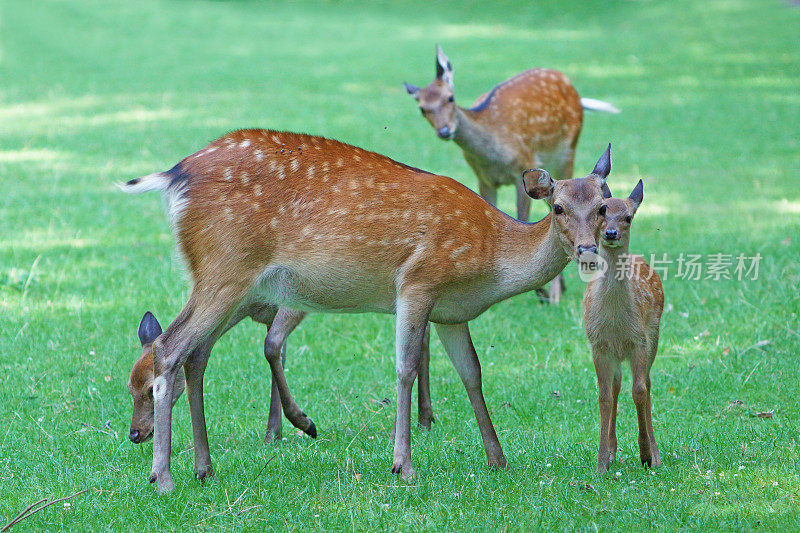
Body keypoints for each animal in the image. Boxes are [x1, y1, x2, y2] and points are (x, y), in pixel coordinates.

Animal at [122, 128, 616, 490]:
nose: (589, 249)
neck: (489, 261)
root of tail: (174, 175)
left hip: (233, 284)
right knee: (170, 348)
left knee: (196, 355)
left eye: (604, 205)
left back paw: (204, 467)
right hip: (225, 268)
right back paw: (163, 476)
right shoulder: (417, 281)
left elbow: (472, 373)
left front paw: (499, 460)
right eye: (557, 207)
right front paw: (403, 465)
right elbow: (405, 367)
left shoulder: (453, 313)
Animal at [404, 45, 620, 304]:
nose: (445, 131)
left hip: (567, 153)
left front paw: (543, 292)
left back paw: (556, 293)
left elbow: (523, 216)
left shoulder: (523, 168)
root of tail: (574, 91)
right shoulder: (483, 177)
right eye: (422, 109)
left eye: (450, 98)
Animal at [580, 181, 664, 472]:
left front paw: (648, 455)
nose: (611, 233)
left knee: (647, 383)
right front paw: (601, 463)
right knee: (616, 386)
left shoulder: (639, 341)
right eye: (602, 211)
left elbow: (639, 391)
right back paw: (613, 450)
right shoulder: (598, 345)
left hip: (654, 336)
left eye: (628, 217)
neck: (615, 323)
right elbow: (604, 397)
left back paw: (653, 453)